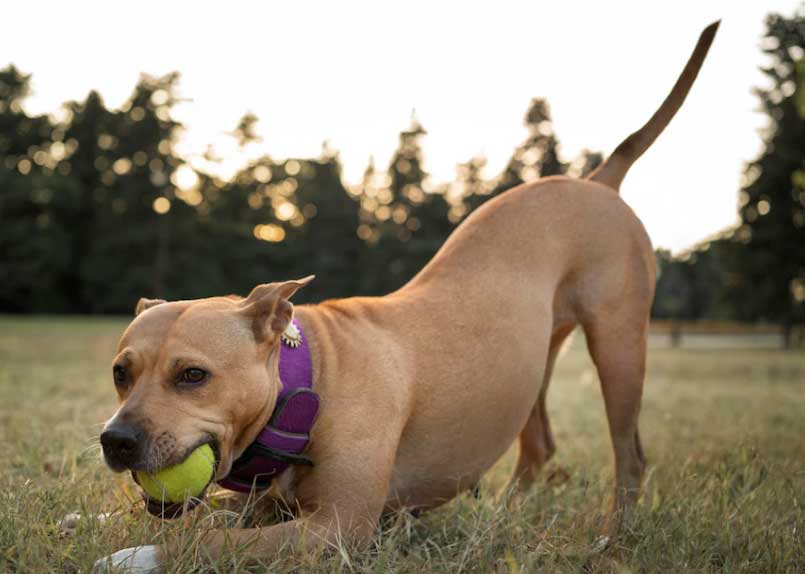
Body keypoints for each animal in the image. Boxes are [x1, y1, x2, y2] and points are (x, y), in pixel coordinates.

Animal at [97, 21, 720, 572]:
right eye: (120, 373)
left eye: (192, 376)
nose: (116, 440)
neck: (307, 379)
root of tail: (597, 181)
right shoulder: (266, 505)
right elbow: (198, 517)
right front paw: (95, 520)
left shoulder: (337, 528)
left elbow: (208, 540)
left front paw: (133, 555)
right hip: (534, 363)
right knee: (540, 447)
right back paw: (506, 519)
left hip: (618, 344)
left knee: (630, 456)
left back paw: (611, 539)